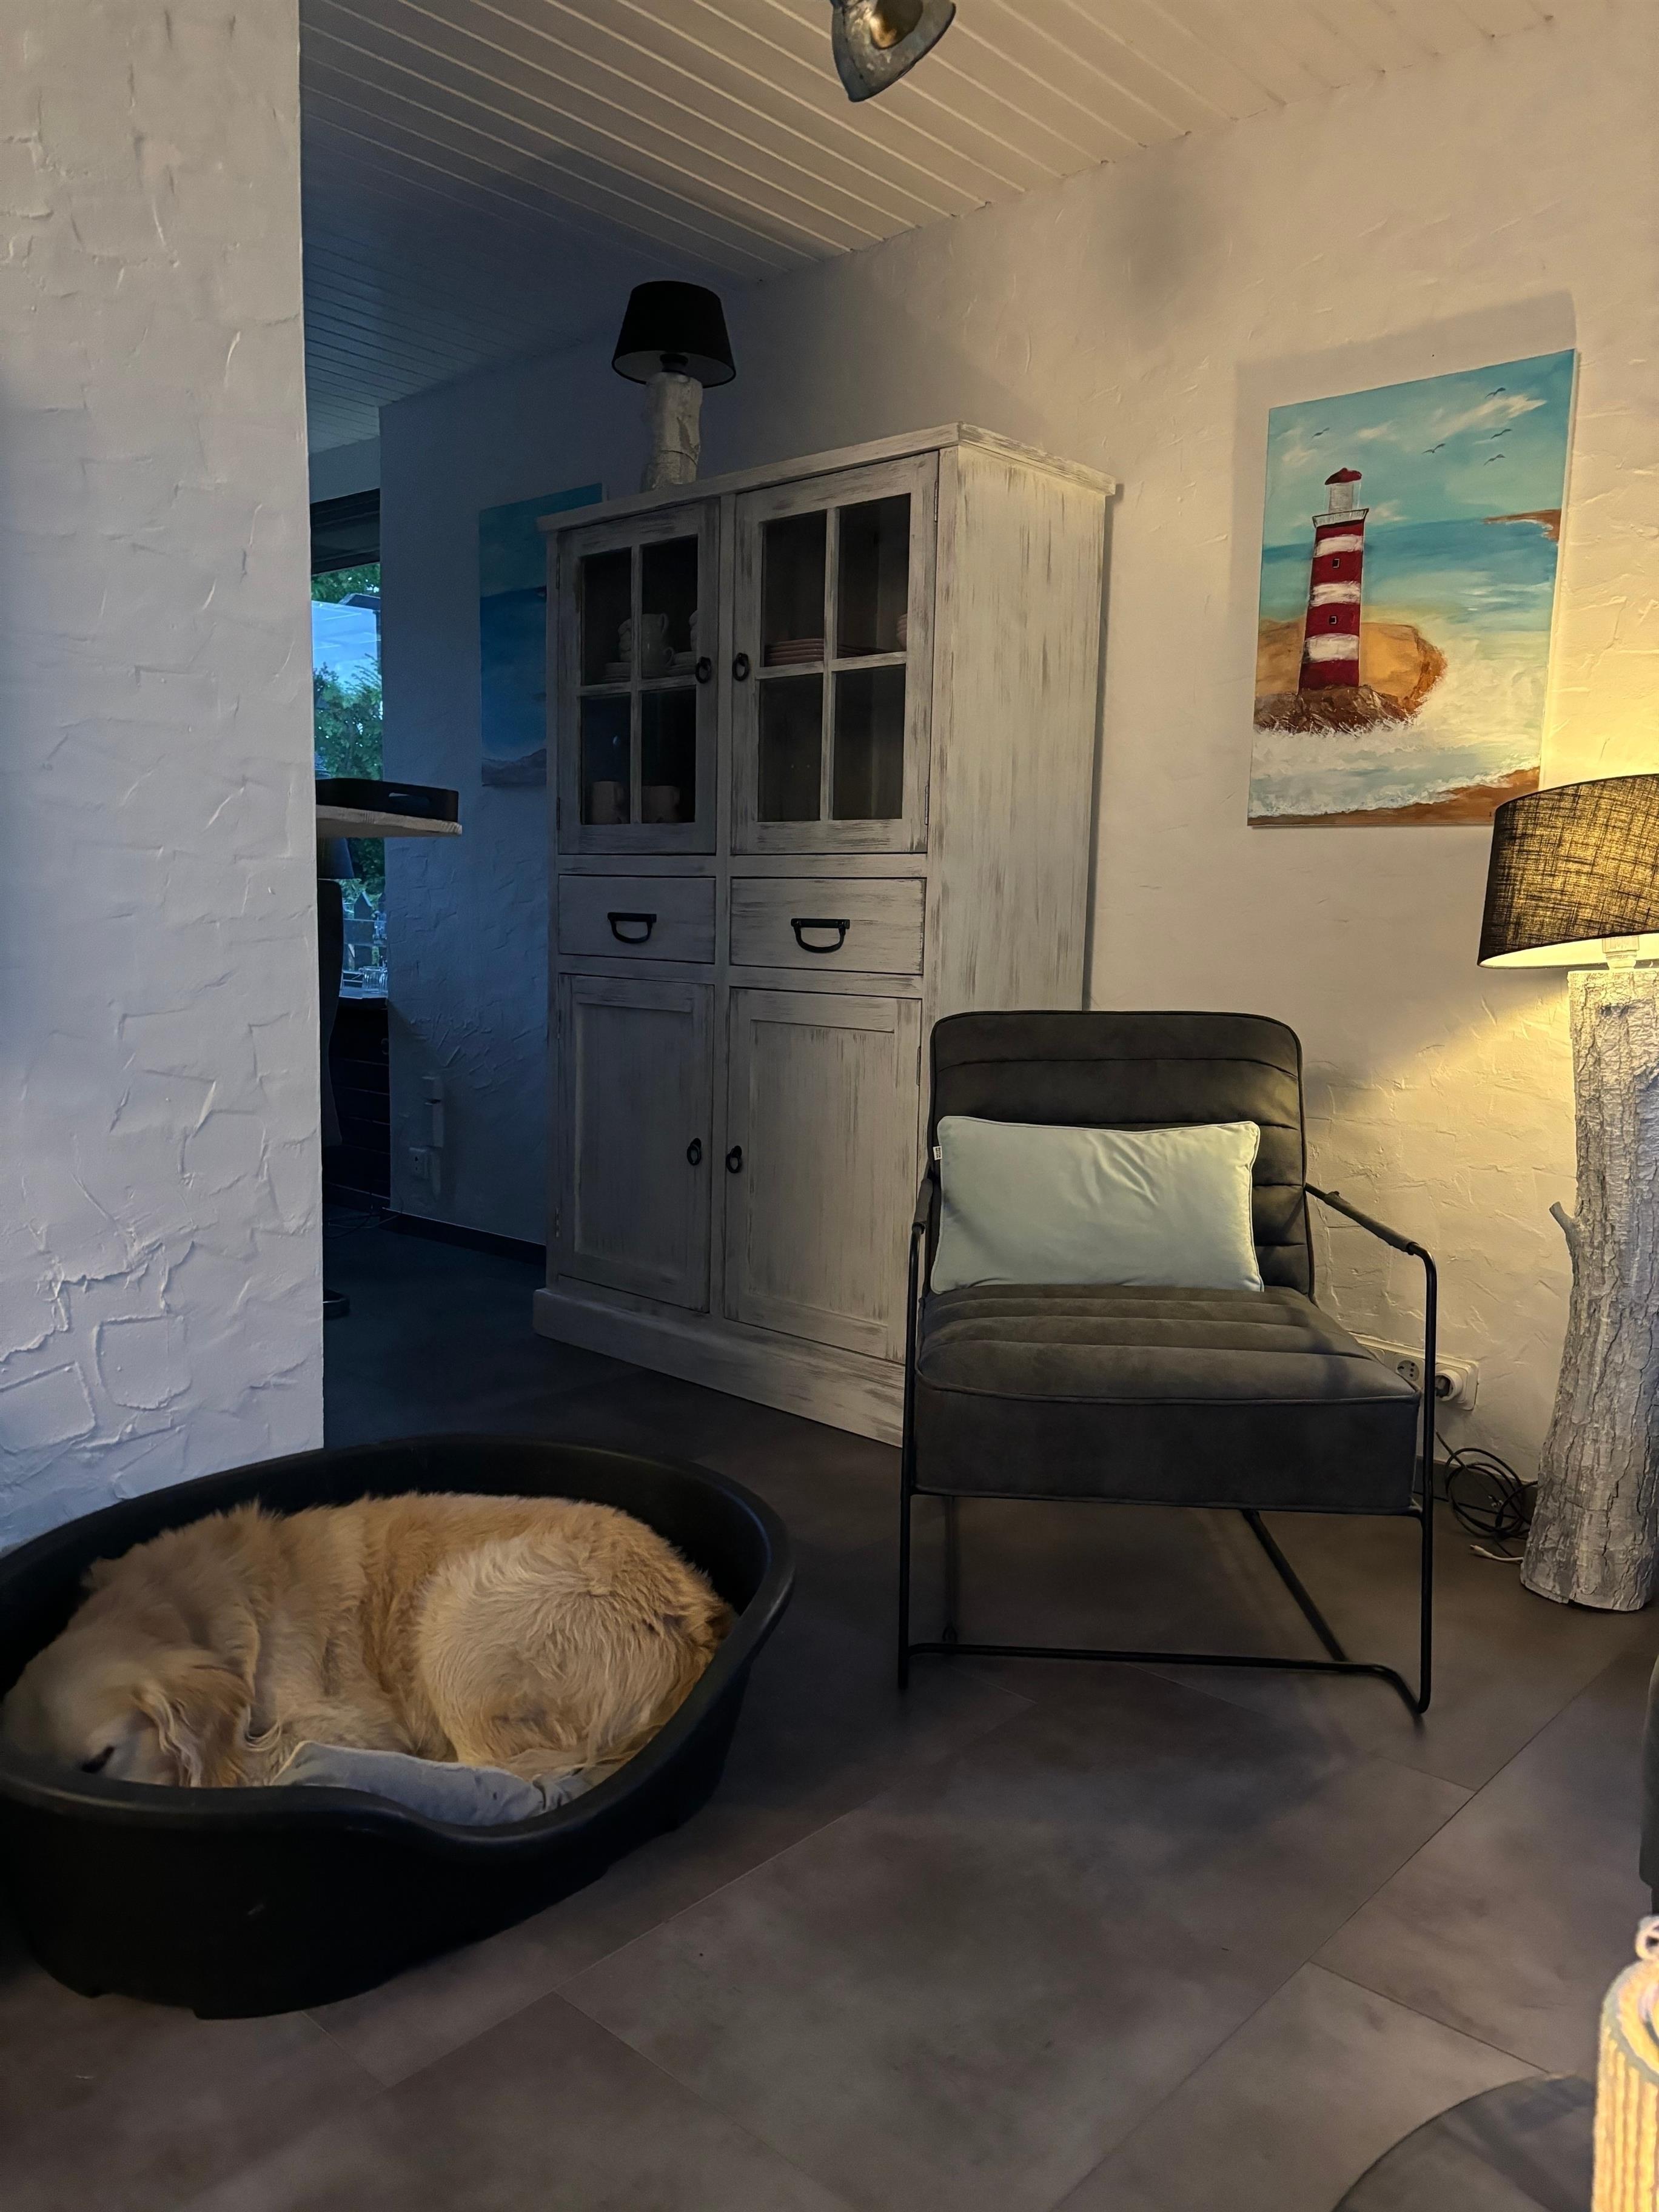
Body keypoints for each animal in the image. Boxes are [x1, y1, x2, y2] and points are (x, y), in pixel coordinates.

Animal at [0, 1493, 730, 1790]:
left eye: (100, 1761)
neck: (176, 1608)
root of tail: (694, 1619)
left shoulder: (342, 1723)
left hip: (458, 1615)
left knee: (493, 1772)